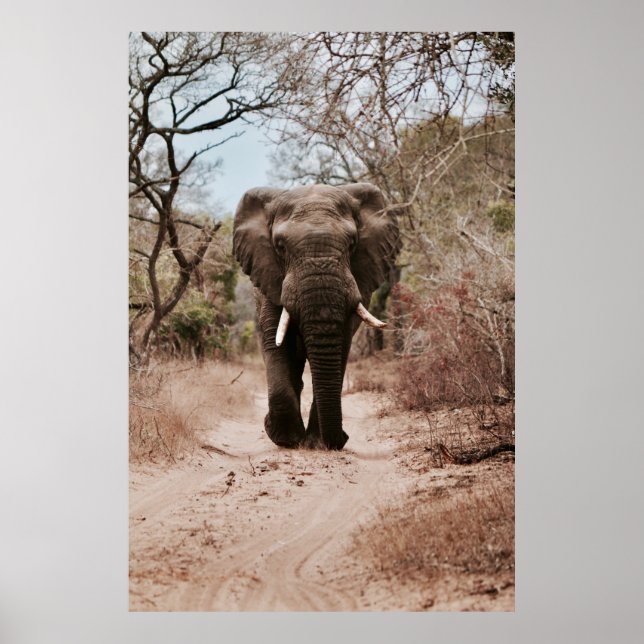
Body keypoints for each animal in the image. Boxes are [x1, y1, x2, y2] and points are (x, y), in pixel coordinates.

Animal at [233, 183, 401, 450]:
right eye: (280, 246)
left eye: (352, 244)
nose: (343, 438)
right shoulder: (269, 278)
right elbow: (276, 343)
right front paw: (286, 439)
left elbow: (340, 346)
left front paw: (316, 443)